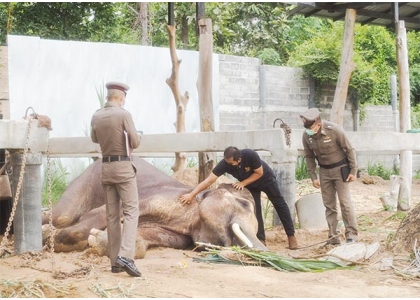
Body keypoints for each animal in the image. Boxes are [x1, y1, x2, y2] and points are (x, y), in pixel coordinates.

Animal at [41, 157, 266, 258]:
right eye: (244, 204)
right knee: (61, 216)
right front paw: (53, 240)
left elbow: (149, 237)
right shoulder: (161, 198)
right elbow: (102, 213)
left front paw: (98, 239)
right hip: (86, 180)